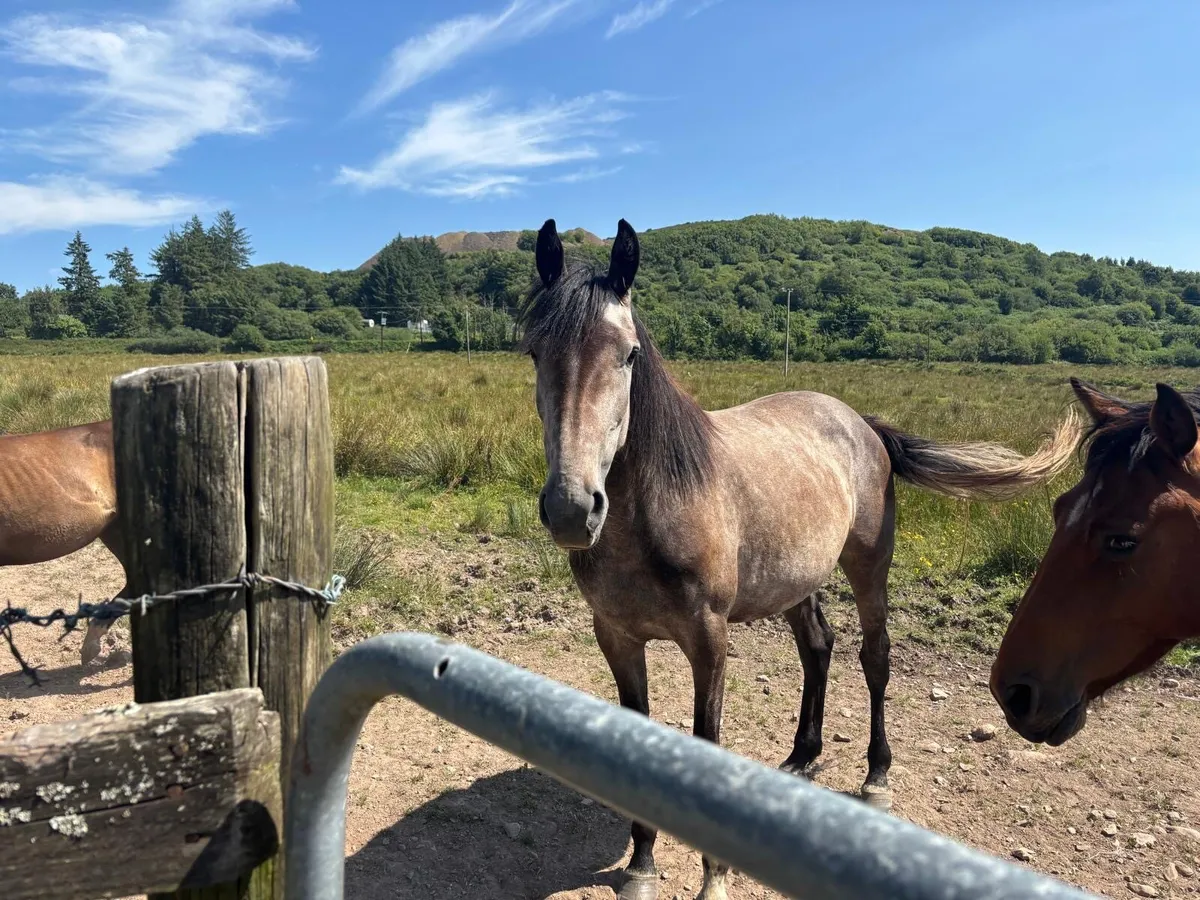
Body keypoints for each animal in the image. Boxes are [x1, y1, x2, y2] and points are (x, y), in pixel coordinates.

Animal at [521, 217, 1083, 900]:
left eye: (628, 354)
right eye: (534, 351)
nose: (573, 508)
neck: (657, 509)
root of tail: (860, 422)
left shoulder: (708, 639)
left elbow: (707, 737)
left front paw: (714, 877)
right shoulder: (617, 637)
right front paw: (642, 865)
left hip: (868, 569)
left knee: (874, 658)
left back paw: (876, 775)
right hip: (796, 582)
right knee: (818, 648)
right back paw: (801, 757)